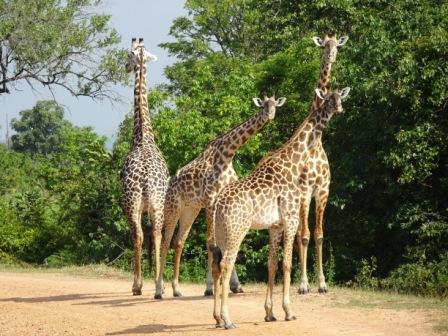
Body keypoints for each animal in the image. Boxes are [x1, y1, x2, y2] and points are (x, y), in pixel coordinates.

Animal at [154, 96, 288, 298]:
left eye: (275, 104)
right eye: (263, 105)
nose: (270, 114)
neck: (227, 155)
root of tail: (171, 181)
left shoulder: (221, 200)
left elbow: (223, 243)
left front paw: (236, 286)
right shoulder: (210, 200)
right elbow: (211, 241)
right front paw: (210, 287)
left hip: (190, 210)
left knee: (179, 241)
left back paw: (176, 289)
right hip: (173, 207)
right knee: (165, 240)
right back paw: (159, 289)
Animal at [210, 86, 350, 328]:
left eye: (339, 96)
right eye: (328, 98)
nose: (339, 108)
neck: (292, 163)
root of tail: (218, 204)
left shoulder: (275, 225)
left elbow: (272, 264)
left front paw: (269, 313)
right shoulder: (291, 218)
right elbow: (287, 263)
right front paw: (289, 310)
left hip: (221, 232)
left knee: (218, 266)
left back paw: (218, 318)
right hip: (236, 230)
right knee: (227, 264)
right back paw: (228, 320)